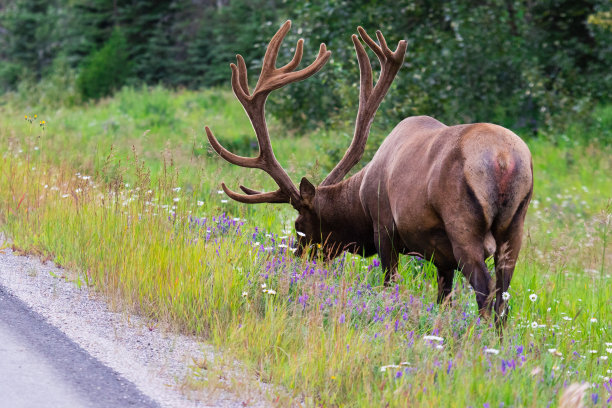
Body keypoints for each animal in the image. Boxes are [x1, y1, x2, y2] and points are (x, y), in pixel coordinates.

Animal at [206, 20, 532, 318]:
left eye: (300, 225)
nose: (295, 259)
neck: (360, 199)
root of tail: (505, 159)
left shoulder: (385, 227)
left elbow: (389, 283)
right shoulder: (442, 258)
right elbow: (444, 298)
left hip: (463, 226)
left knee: (485, 293)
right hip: (514, 229)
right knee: (503, 298)